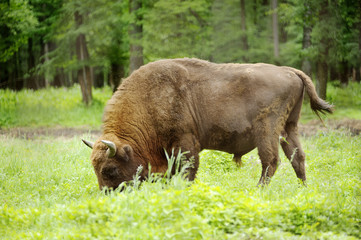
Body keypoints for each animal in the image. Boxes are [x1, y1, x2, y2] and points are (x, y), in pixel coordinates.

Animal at [82, 57, 332, 189]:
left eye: (110, 169)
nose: (107, 194)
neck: (148, 100)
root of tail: (289, 71)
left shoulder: (184, 142)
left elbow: (187, 169)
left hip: (267, 130)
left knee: (271, 160)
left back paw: (259, 190)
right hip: (289, 128)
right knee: (297, 157)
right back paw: (303, 188)